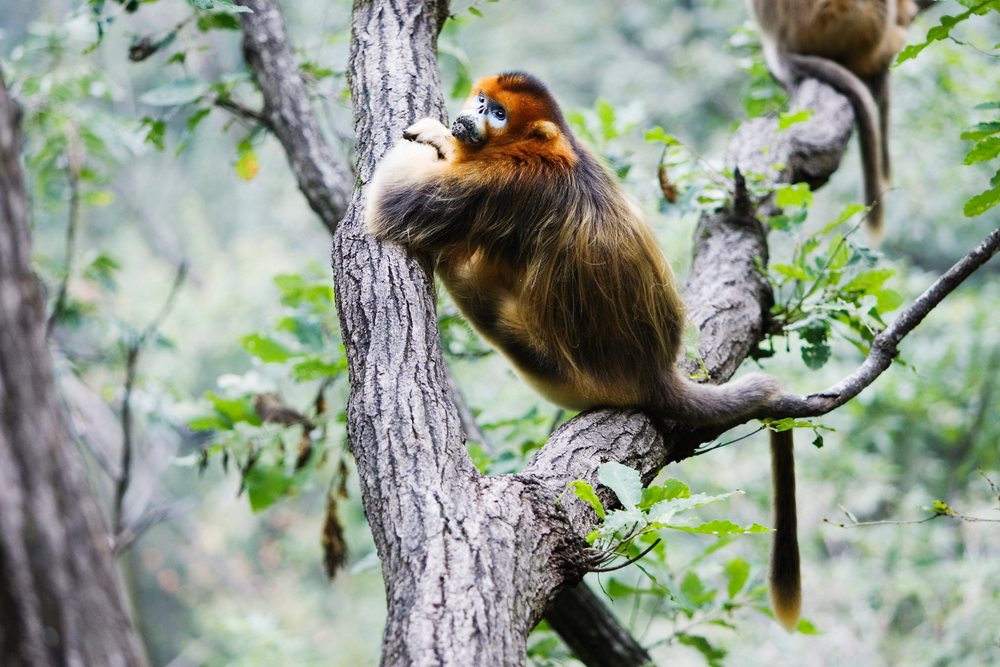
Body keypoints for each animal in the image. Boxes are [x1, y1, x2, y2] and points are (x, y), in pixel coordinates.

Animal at [365, 71, 798, 627]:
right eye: (481, 101)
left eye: (497, 113)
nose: (471, 114)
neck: (552, 151)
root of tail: (654, 372)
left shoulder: (503, 182)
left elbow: (389, 199)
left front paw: (434, 137)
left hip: (551, 366)